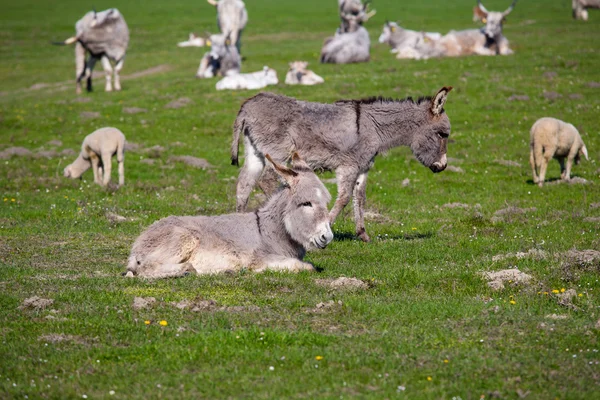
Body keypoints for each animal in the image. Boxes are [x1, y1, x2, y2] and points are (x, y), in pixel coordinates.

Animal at [125, 153, 332, 278]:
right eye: (306, 203)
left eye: (326, 202)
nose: (327, 237)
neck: (266, 231)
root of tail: (137, 245)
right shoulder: (260, 257)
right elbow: (307, 266)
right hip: (183, 238)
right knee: (147, 268)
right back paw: (188, 269)